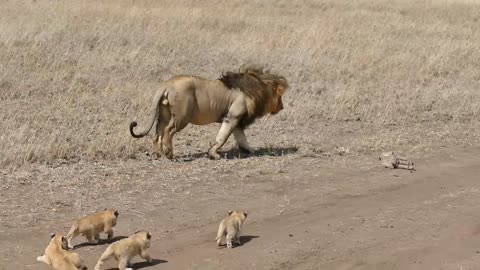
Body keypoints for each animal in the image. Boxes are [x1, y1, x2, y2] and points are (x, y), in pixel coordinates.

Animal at [129, 64, 288, 159]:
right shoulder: (232, 116)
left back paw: (157, 154)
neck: (256, 87)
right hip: (182, 117)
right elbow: (222, 137)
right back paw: (169, 153)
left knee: (157, 134)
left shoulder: (236, 120)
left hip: (164, 114)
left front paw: (249, 150)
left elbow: (241, 138)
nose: (282, 107)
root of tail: (167, 84)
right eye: (280, 96)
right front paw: (213, 154)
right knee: (168, 131)